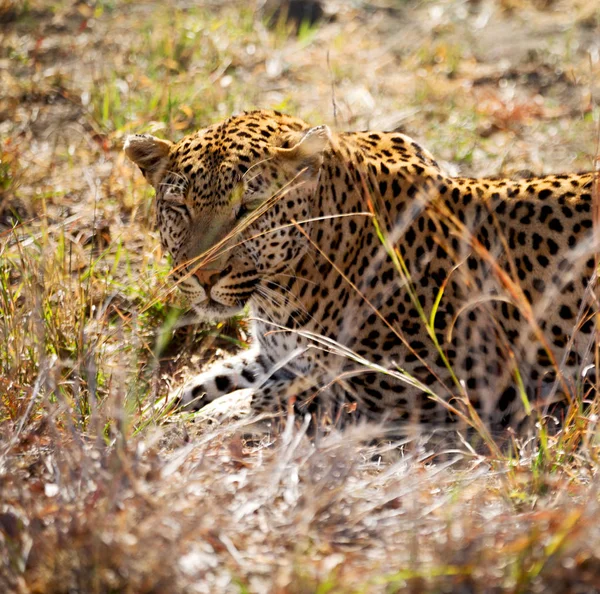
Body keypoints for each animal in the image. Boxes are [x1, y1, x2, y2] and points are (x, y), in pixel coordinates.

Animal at [124, 108, 596, 428]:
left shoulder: (441, 379)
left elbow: (279, 394)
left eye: (249, 207)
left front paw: (213, 417)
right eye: (179, 207)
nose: (203, 276)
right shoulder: (278, 353)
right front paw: (149, 414)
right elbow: (211, 377)